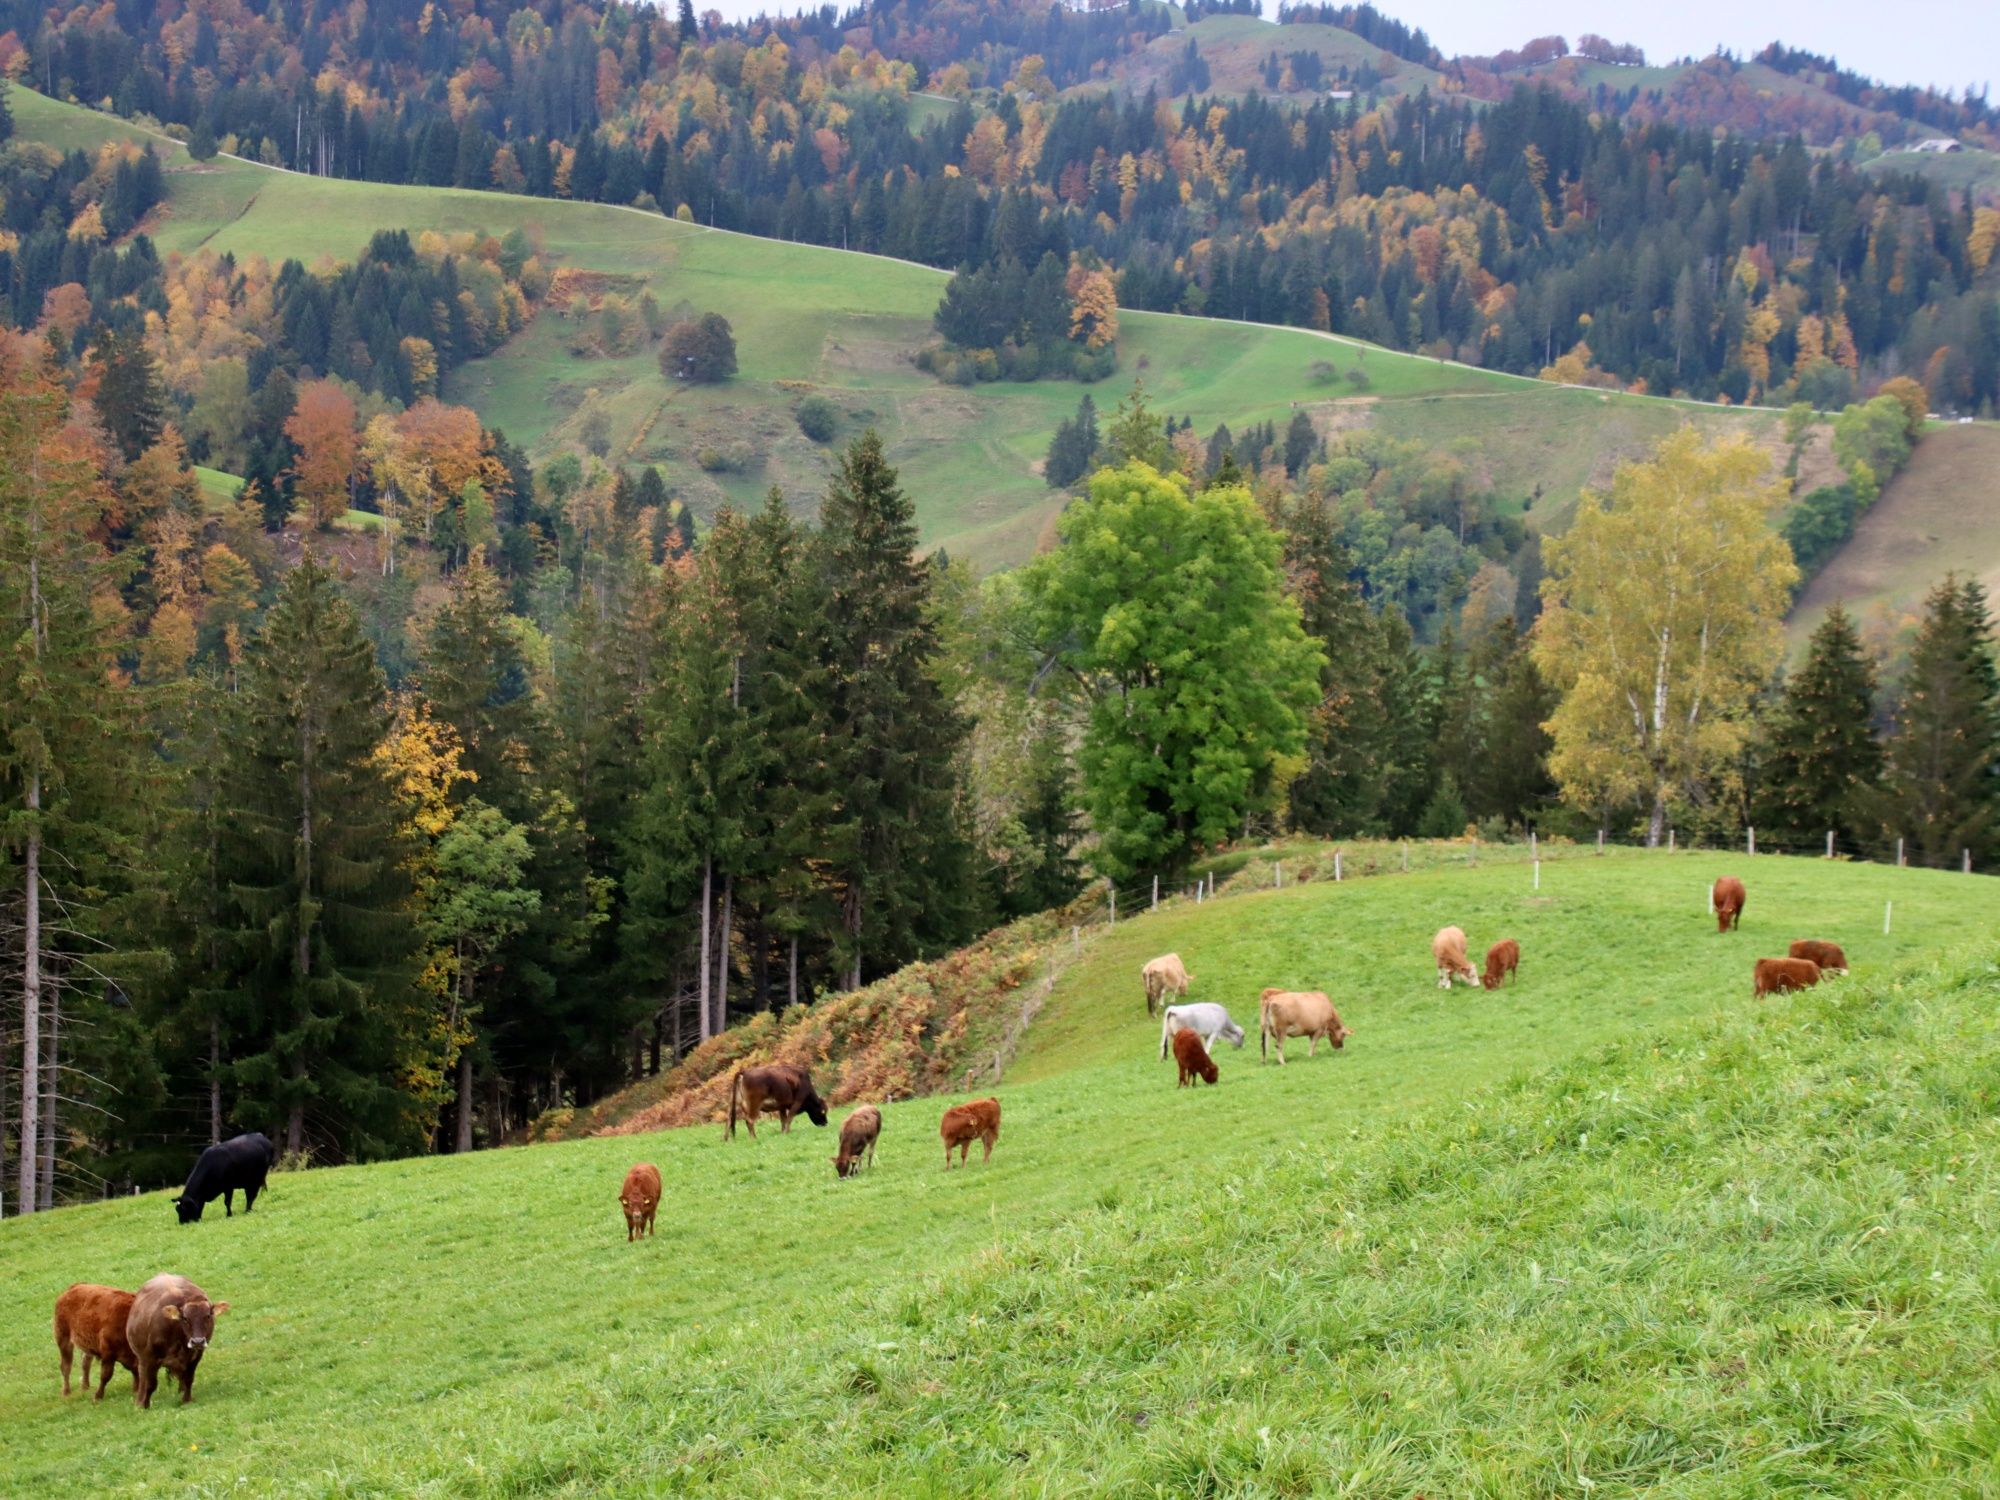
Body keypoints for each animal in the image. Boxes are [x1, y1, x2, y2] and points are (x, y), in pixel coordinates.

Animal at [126, 1274, 228, 1409]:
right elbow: (150, 1384)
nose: (197, 1341)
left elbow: (189, 1378)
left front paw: (186, 1400)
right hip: (141, 1357)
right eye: (185, 1318)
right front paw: (144, 1405)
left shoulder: (196, 1355)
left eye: (208, 1316)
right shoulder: (150, 1358)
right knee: (143, 1378)